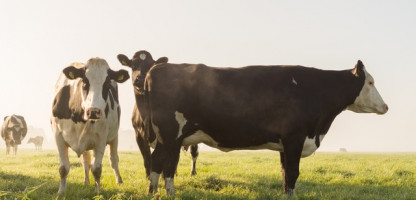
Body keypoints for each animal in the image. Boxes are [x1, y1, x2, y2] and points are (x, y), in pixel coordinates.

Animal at [51, 57, 130, 194]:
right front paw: (61, 193)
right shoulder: (58, 136)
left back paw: (119, 181)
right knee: (86, 160)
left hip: (114, 136)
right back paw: (86, 181)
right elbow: (63, 168)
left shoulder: (101, 139)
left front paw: (97, 192)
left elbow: (97, 169)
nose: (94, 111)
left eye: (107, 84)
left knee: (113, 159)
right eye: (84, 82)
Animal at [143, 59, 390, 195]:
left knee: (156, 161)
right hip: (171, 135)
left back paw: (152, 192)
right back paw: (169, 193)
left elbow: (285, 175)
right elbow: (292, 173)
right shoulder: (295, 137)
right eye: (370, 82)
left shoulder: (285, 143)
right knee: (168, 166)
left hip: (165, 138)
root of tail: (157, 68)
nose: (386, 106)